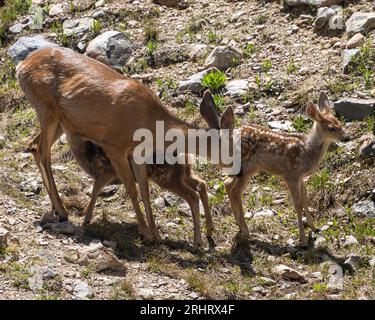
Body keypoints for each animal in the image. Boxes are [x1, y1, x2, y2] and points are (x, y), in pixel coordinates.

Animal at [17, 47, 223, 248]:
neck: (149, 120)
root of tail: (21, 66)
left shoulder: (136, 152)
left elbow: (144, 189)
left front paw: (156, 235)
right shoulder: (114, 145)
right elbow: (131, 187)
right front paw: (146, 233)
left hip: (61, 119)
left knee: (33, 145)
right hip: (46, 109)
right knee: (42, 150)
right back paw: (61, 211)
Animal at [201, 91, 352, 246]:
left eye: (340, 123)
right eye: (331, 128)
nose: (347, 137)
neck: (307, 151)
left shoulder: (300, 177)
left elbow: (305, 198)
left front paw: (315, 228)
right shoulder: (291, 175)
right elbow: (297, 204)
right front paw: (302, 239)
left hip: (244, 169)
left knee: (227, 183)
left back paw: (239, 226)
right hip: (247, 168)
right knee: (235, 191)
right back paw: (246, 231)